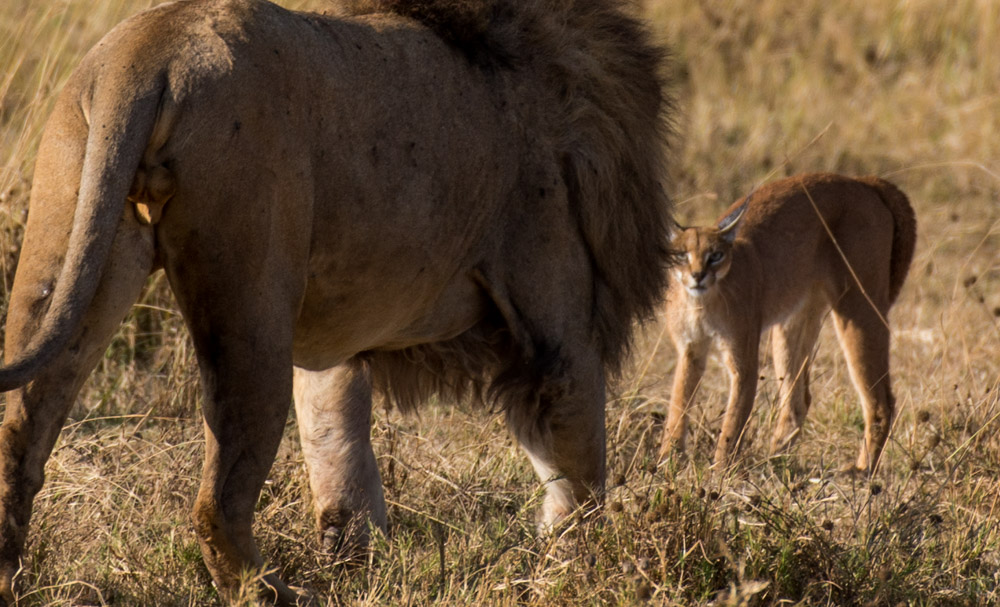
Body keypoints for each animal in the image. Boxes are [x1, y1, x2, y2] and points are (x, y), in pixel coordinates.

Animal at [0, 0, 676, 600]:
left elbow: (336, 445)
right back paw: (274, 593)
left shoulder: (336, 346)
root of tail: (150, 51)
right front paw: (579, 568)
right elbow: (577, 468)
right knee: (217, 502)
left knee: (21, 435)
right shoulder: (556, 322)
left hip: (69, 236)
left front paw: (358, 558)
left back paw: (12, 578)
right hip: (250, 301)